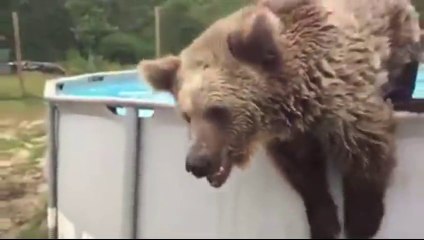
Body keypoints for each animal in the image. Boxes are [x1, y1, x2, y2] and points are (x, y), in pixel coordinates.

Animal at [138, 0, 420, 239]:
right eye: (187, 115)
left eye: (218, 110)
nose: (197, 163)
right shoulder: (290, 134)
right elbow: (304, 171)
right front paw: (325, 223)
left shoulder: (343, 96)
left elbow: (364, 149)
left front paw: (362, 222)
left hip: (399, 30)